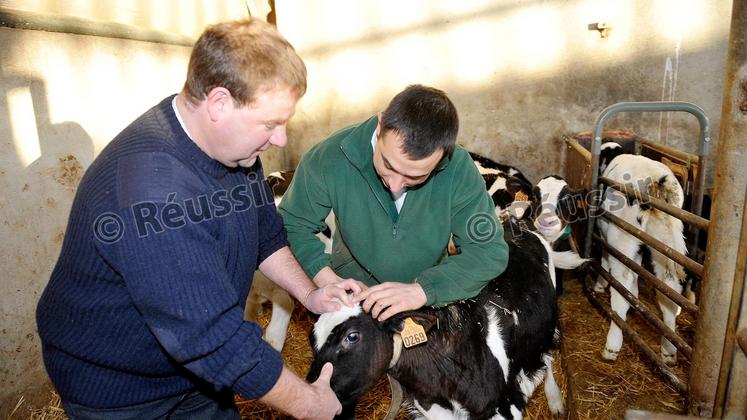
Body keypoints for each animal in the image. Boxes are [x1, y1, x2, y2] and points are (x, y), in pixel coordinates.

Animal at [308, 221, 568, 418]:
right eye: (313, 338)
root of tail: (513, 223)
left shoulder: (506, 406)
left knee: (548, 355)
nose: (314, 390)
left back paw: (555, 399)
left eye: (352, 337)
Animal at [596, 153, 688, 364]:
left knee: (621, 283)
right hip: (664, 242)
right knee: (669, 290)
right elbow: (636, 269)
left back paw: (612, 345)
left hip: (622, 235)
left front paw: (599, 284)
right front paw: (635, 296)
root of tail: (658, 177)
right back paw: (669, 351)